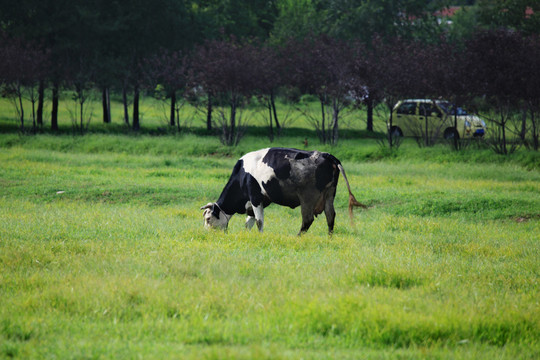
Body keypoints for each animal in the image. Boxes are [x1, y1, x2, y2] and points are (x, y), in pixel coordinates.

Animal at [201, 148, 368, 235]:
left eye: (208, 219)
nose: (207, 234)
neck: (242, 174)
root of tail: (327, 156)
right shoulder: (256, 202)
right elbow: (249, 222)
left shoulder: (255, 197)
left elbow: (259, 221)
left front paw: (260, 236)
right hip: (329, 194)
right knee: (330, 216)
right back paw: (330, 237)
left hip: (308, 197)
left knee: (307, 219)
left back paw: (298, 237)